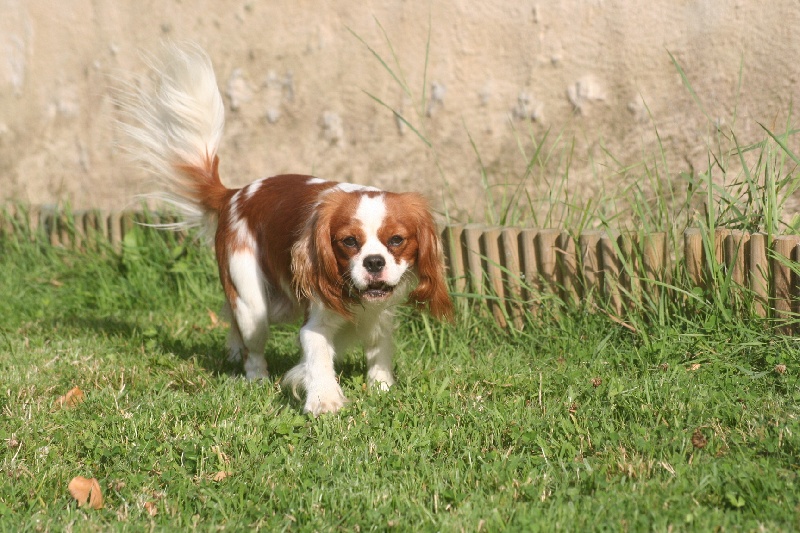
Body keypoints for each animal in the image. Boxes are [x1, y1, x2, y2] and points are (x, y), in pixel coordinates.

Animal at [121, 42, 454, 416]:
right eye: (348, 242)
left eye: (396, 240)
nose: (373, 262)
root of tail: (233, 194)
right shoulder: (316, 322)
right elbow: (318, 356)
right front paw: (324, 400)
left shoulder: (380, 316)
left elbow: (378, 351)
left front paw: (382, 387)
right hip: (252, 301)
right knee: (252, 343)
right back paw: (256, 378)